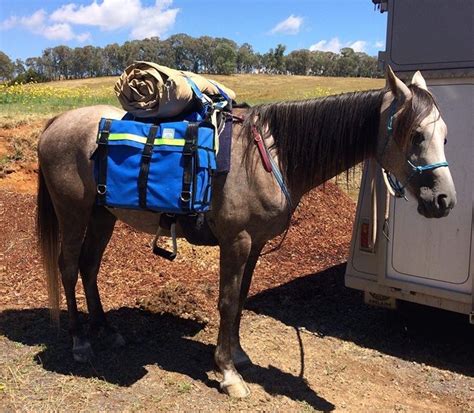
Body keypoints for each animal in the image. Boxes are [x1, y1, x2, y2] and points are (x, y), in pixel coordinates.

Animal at [37, 67, 456, 396]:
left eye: (445, 137)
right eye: (416, 135)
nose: (444, 200)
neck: (269, 158)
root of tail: (56, 121)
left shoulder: (254, 244)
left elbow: (240, 299)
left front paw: (237, 355)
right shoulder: (235, 242)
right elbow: (226, 301)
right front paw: (227, 373)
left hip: (101, 216)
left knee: (90, 267)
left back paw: (106, 330)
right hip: (73, 213)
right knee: (69, 268)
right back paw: (79, 341)